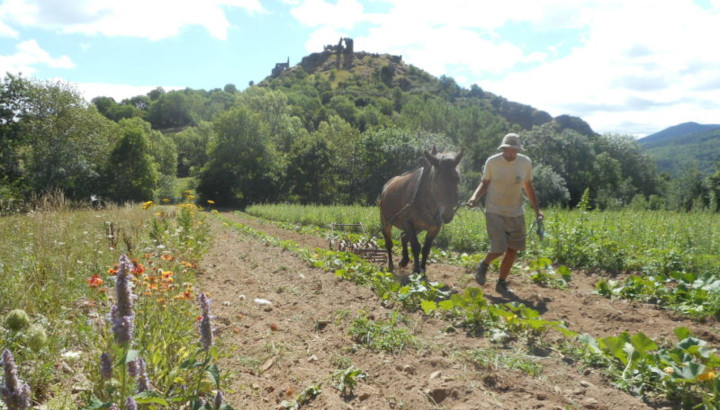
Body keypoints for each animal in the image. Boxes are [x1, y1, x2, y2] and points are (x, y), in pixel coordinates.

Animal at [380, 149, 464, 278]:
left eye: (457, 179)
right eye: (436, 181)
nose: (447, 215)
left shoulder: (435, 228)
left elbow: (426, 249)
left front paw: (423, 270)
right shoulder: (408, 222)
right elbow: (416, 246)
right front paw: (416, 270)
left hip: (418, 227)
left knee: (404, 236)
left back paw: (404, 261)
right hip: (386, 222)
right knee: (389, 243)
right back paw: (391, 265)